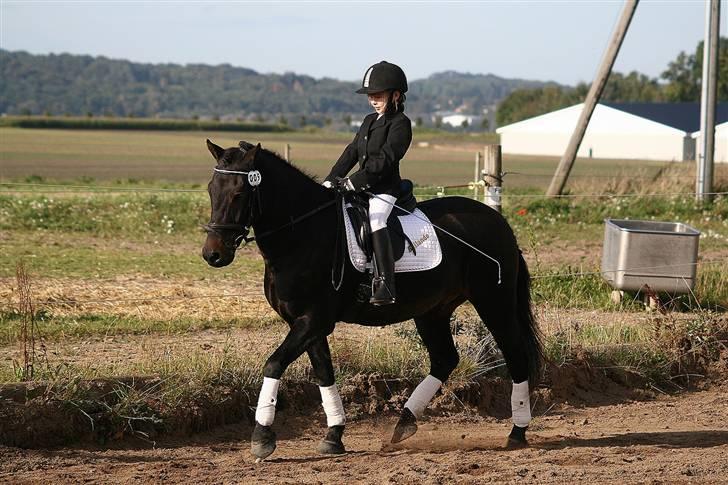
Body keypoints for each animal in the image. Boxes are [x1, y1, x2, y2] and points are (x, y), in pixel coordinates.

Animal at [202, 139, 544, 458]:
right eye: (210, 190)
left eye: (238, 194)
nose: (213, 255)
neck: (302, 233)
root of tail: (499, 223)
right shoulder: (306, 323)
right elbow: (324, 373)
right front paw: (334, 436)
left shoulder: (314, 320)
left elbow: (273, 364)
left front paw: (262, 438)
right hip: (433, 311)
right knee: (445, 358)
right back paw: (404, 423)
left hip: (493, 302)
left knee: (516, 355)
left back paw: (517, 432)